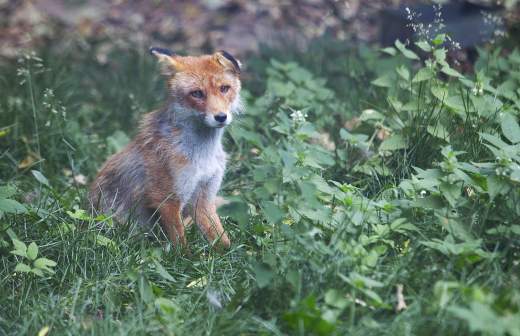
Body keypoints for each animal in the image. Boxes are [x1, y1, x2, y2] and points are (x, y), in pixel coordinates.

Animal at [89, 48, 244, 251]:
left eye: (224, 88)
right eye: (197, 93)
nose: (220, 117)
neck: (202, 156)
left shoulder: (203, 197)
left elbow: (222, 241)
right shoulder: (166, 198)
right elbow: (180, 245)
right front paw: (186, 257)